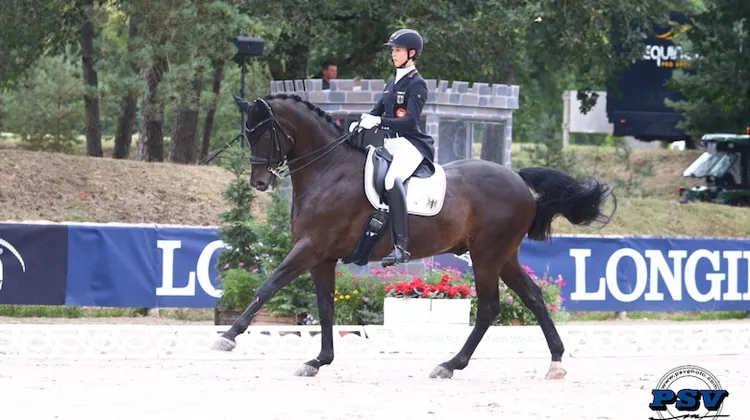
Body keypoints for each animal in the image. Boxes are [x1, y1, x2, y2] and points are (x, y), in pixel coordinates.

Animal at [209, 92, 615, 380]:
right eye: (247, 134)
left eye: (265, 132)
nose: (259, 182)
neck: (328, 169)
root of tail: (516, 178)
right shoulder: (322, 256)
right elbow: (324, 307)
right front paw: (318, 360)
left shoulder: (309, 248)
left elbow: (269, 285)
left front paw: (227, 336)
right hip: (503, 256)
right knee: (533, 298)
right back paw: (556, 362)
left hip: (487, 255)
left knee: (489, 308)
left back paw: (450, 365)